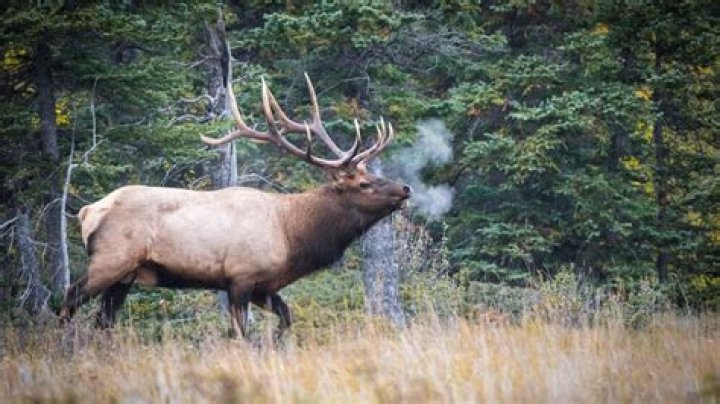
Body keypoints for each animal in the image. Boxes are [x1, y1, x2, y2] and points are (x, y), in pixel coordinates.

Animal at [59, 64, 411, 338]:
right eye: (364, 183)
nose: (405, 188)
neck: (292, 236)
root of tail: (87, 211)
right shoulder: (241, 277)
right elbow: (241, 334)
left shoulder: (264, 287)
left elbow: (287, 318)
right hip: (110, 260)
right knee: (69, 298)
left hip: (126, 275)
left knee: (103, 320)